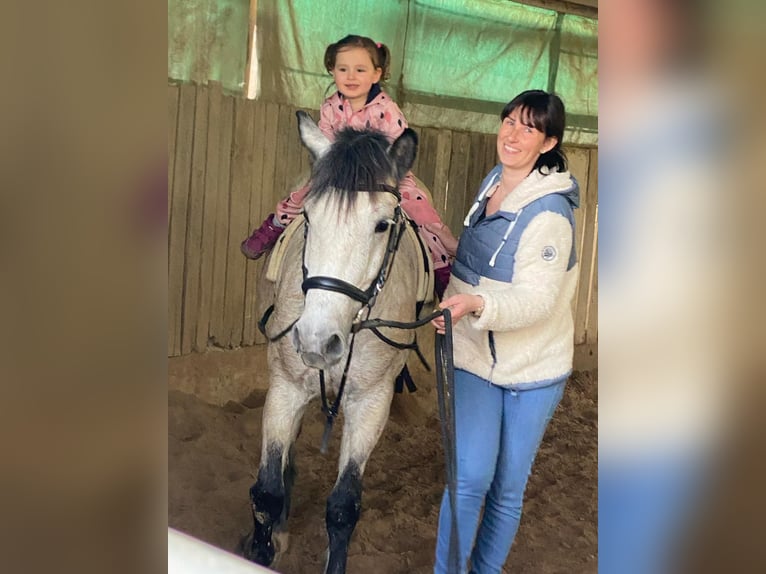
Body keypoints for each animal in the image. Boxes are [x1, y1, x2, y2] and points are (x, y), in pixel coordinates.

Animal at [242, 111, 432, 574]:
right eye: (309, 218)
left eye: (382, 224)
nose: (315, 340)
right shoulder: (285, 388)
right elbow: (267, 490)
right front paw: (263, 546)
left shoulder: (372, 404)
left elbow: (344, 507)